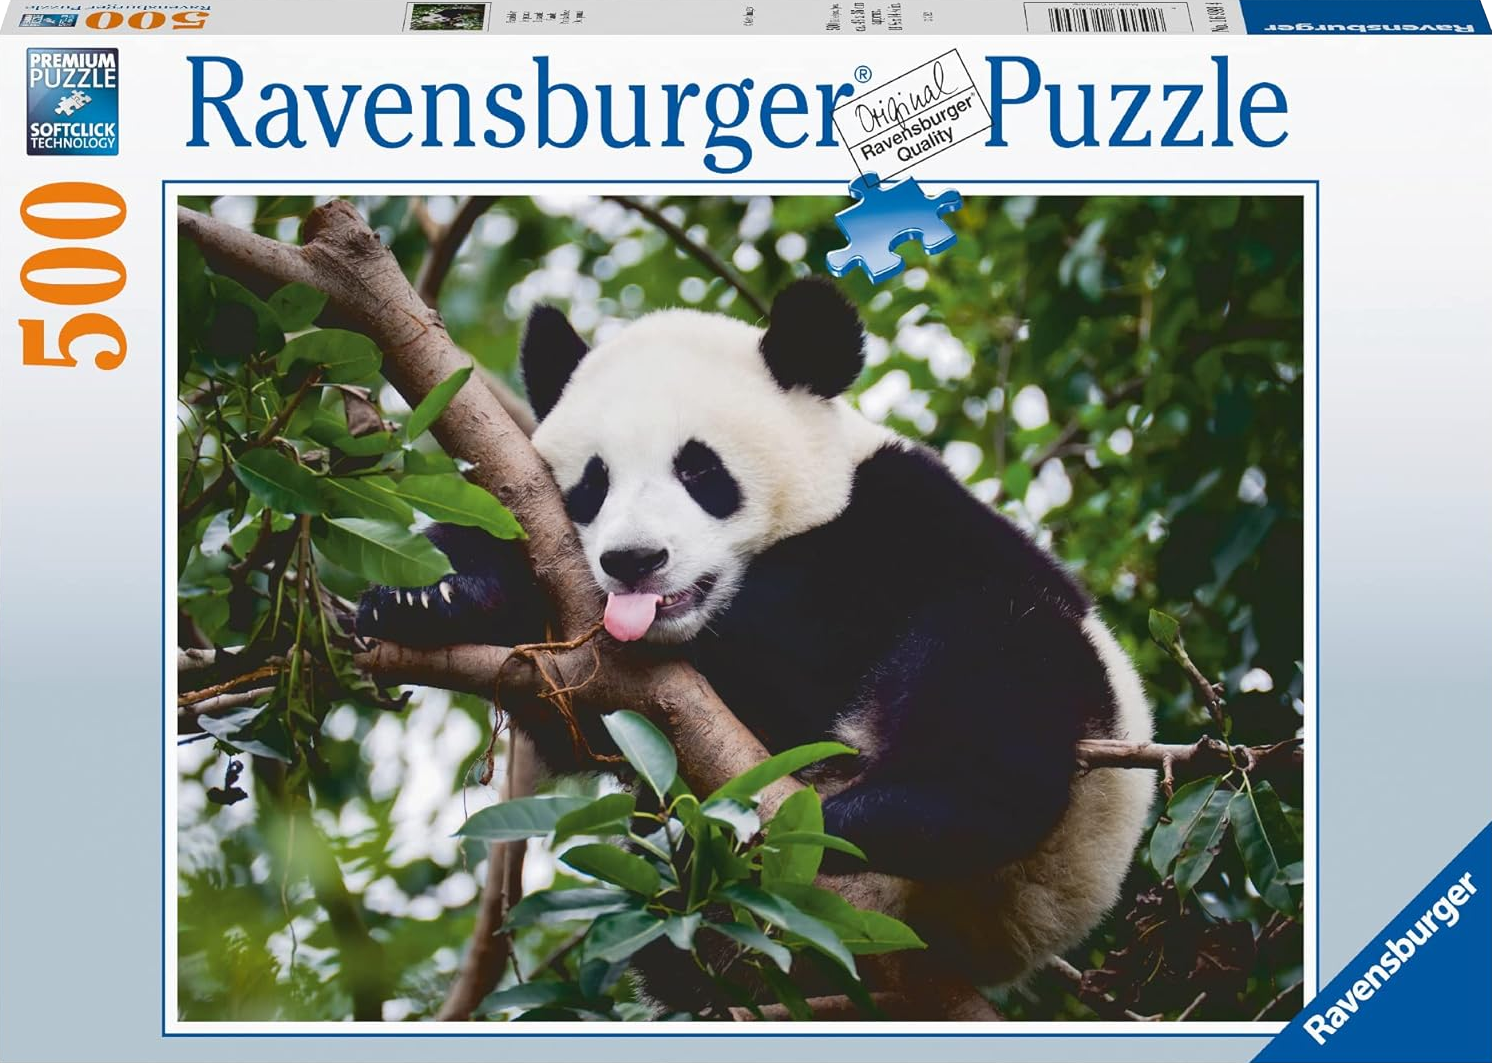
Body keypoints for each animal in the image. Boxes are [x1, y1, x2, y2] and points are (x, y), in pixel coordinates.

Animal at [359, 277, 1155, 990]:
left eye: (700, 470)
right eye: (592, 483)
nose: (635, 561)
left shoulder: (897, 523)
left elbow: (794, 646)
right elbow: (575, 717)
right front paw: (429, 593)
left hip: (1066, 807)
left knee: (996, 664)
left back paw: (883, 815)